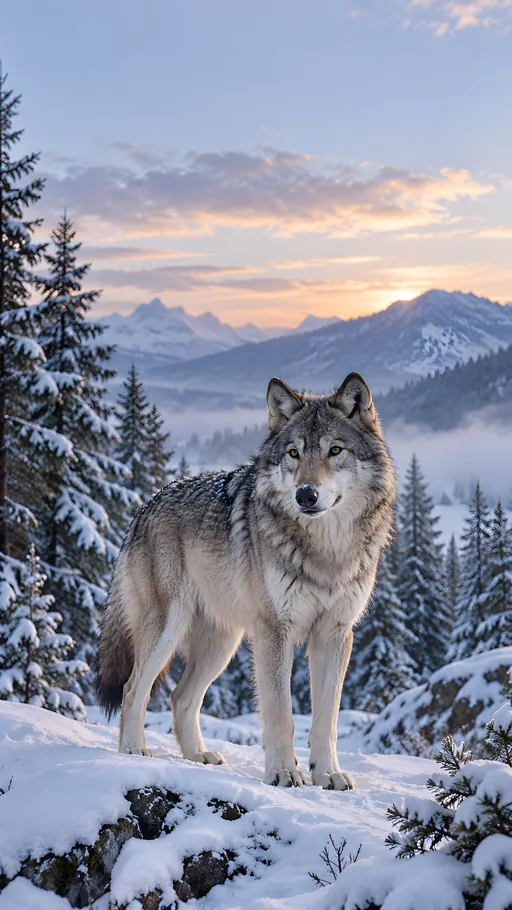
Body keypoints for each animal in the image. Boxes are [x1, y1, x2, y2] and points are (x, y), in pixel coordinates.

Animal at [95, 372, 396, 789]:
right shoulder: (275, 631)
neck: (326, 550)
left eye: (335, 450)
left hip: (222, 644)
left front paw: (327, 774)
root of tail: (143, 507)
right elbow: (281, 713)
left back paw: (198, 756)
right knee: (132, 688)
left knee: (180, 697)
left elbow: (326, 721)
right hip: (168, 631)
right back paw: (134, 750)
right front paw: (284, 773)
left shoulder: (335, 633)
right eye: (293, 454)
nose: (306, 494)